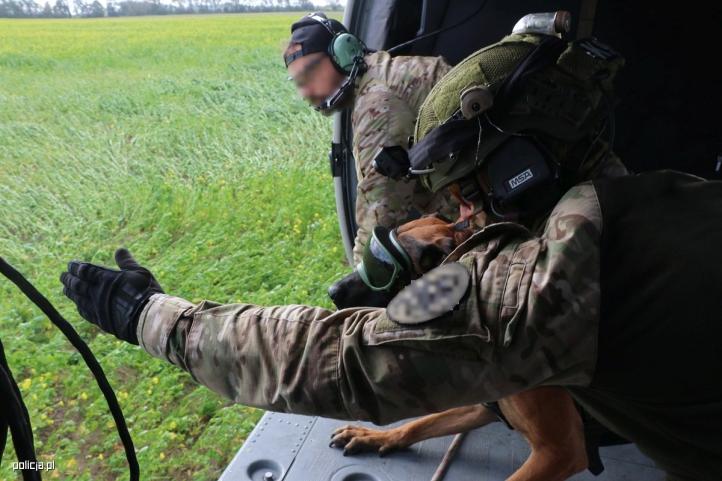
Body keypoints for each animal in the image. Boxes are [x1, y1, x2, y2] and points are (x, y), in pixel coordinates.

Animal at [326, 216, 624, 480]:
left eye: (382, 271)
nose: (331, 291)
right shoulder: (483, 406)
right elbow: (423, 423)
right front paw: (376, 437)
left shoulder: (561, 452)